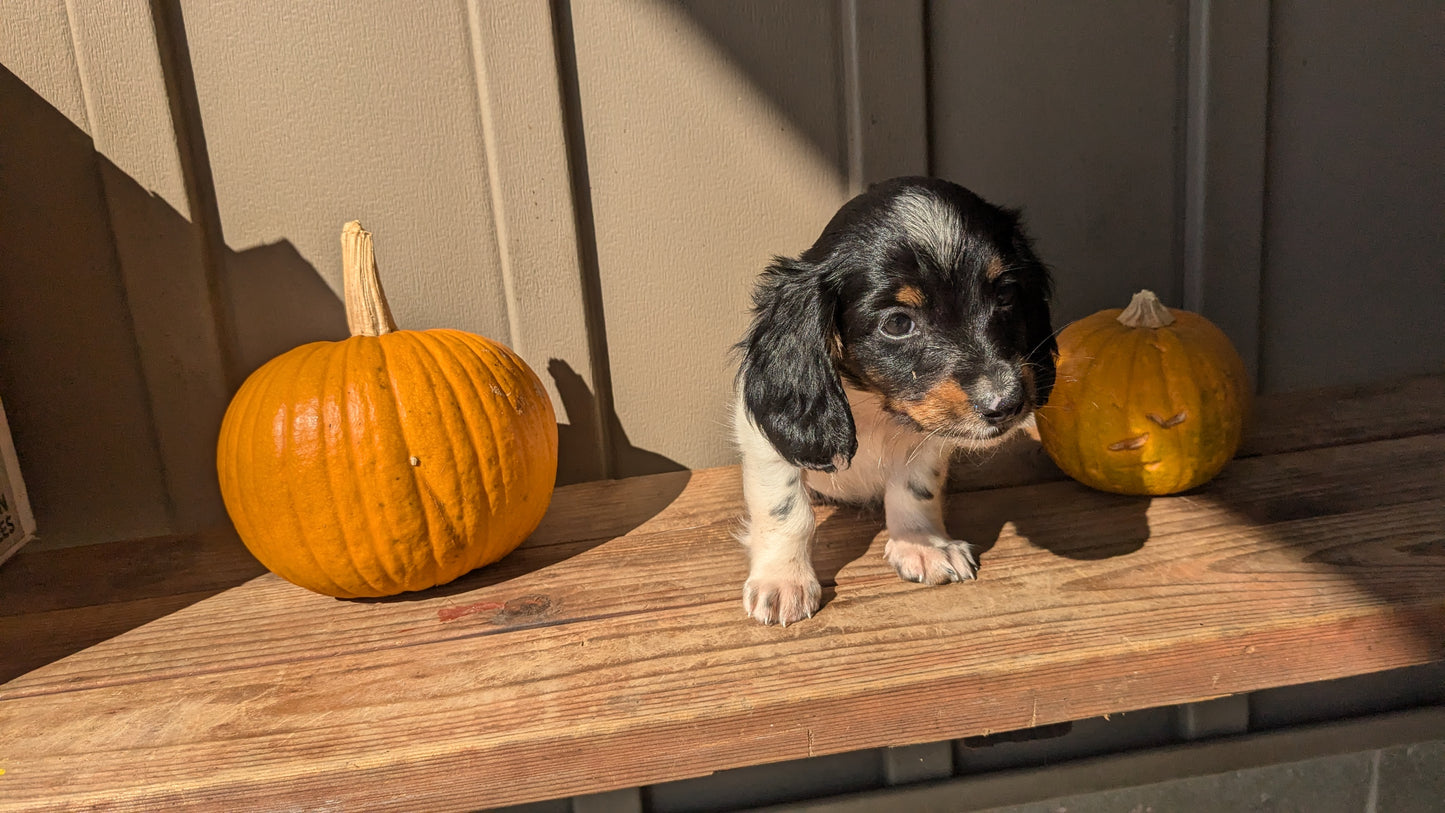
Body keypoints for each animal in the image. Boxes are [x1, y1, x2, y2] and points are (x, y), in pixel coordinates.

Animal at [739, 174, 1057, 626]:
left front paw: (921, 545)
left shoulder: (928, 440)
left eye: (1006, 295)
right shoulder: (764, 442)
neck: (876, 405)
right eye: (898, 323)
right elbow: (785, 511)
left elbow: (914, 489)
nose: (1007, 404)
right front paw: (783, 581)